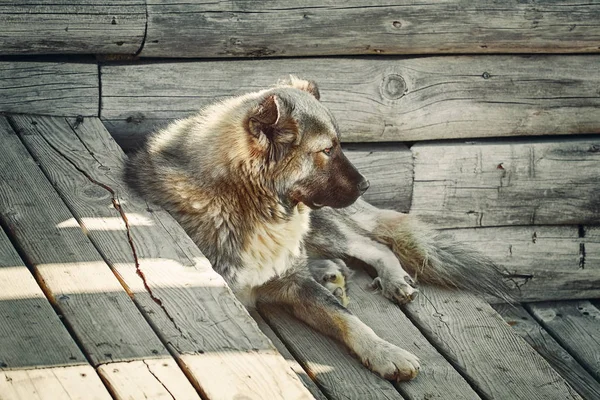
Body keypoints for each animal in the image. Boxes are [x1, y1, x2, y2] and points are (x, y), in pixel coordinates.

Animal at [126, 76, 510, 382]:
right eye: (327, 150)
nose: (366, 185)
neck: (247, 201)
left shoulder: (295, 284)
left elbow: (348, 320)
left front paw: (385, 351)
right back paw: (330, 273)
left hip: (322, 224)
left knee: (376, 247)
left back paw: (386, 278)